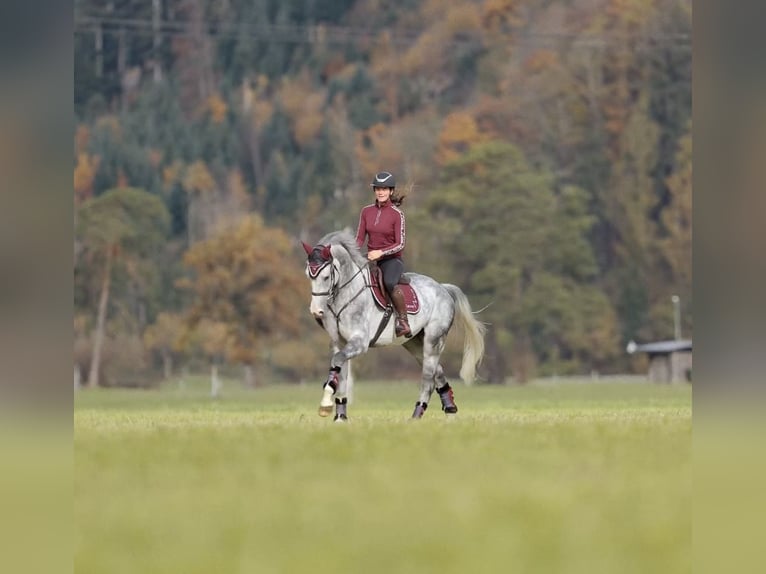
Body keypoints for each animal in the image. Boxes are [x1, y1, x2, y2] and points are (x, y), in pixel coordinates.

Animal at [301, 230, 486, 421]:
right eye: (308, 275)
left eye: (325, 277)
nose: (316, 311)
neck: (348, 294)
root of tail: (443, 288)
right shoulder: (340, 344)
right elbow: (340, 374)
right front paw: (339, 417)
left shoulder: (359, 343)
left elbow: (337, 363)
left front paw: (325, 405)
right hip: (414, 343)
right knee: (439, 373)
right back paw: (450, 411)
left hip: (433, 341)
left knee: (428, 381)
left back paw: (416, 417)